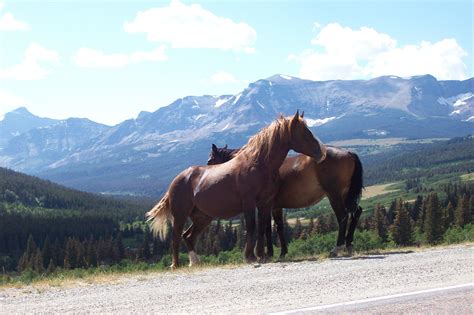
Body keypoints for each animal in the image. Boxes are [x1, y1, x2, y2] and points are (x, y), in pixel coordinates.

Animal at [146, 112, 328, 268]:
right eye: (305, 133)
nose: (321, 152)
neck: (258, 164)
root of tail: (177, 180)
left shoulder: (265, 203)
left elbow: (262, 227)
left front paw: (261, 254)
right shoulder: (249, 203)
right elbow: (252, 226)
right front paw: (250, 256)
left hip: (203, 218)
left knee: (188, 237)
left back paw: (195, 262)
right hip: (180, 215)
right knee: (176, 236)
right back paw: (175, 265)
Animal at [207, 142, 362, 258]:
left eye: (210, 160)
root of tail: (349, 152)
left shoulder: (266, 205)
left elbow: (267, 228)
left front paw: (268, 253)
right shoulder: (275, 207)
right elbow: (278, 227)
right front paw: (281, 252)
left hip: (334, 195)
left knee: (343, 216)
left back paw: (337, 248)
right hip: (345, 194)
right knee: (356, 212)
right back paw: (349, 244)